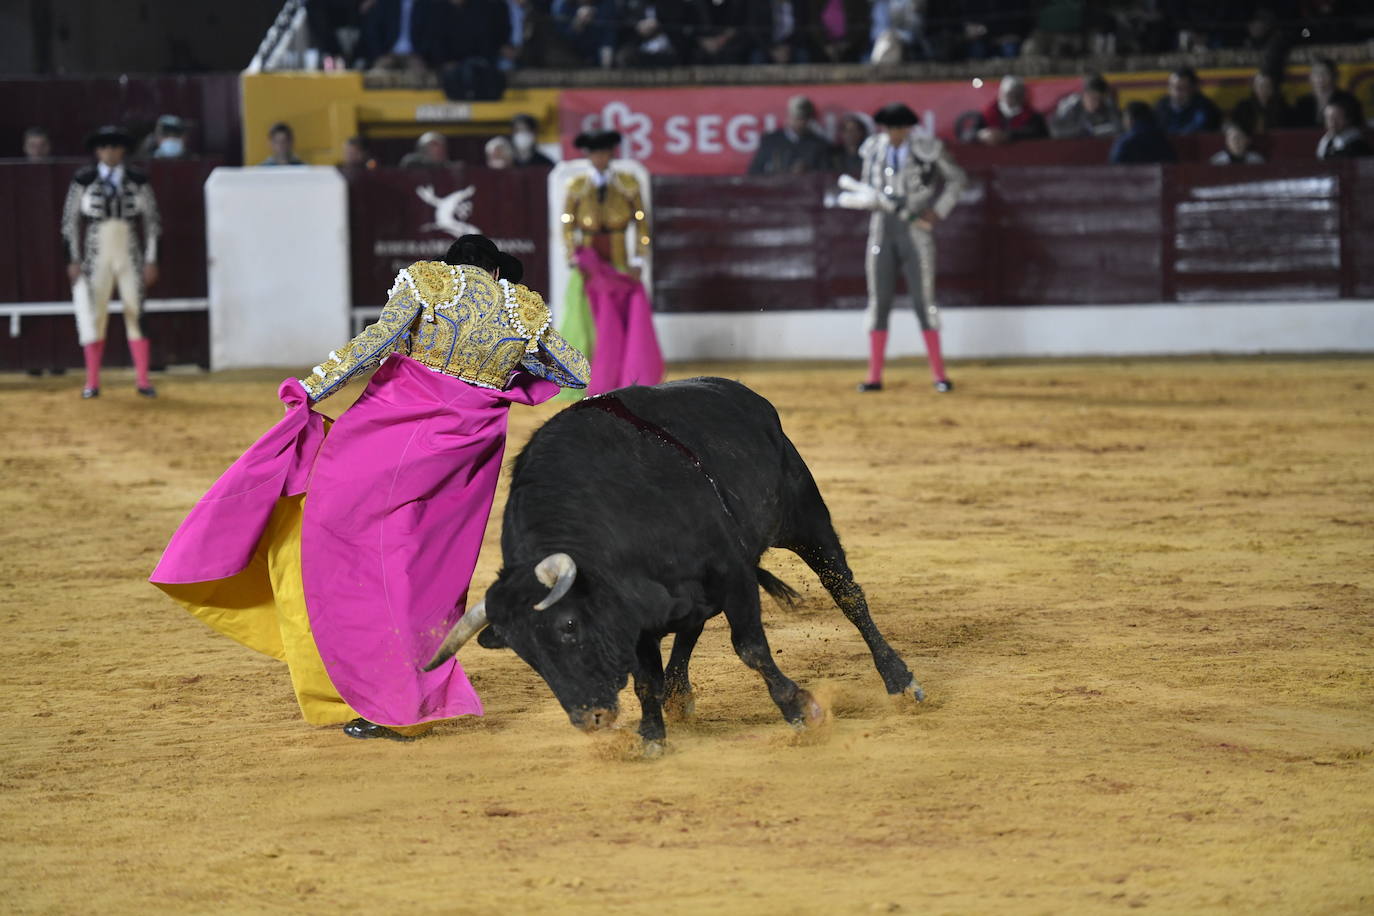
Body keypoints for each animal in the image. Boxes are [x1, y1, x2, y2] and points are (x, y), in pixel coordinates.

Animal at [425, 379, 923, 747]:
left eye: (568, 626)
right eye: (523, 652)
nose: (590, 718)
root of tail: (746, 396)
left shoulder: (732, 573)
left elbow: (750, 647)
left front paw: (800, 708)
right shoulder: (635, 614)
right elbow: (646, 676)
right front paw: (651, 735)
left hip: (806, 519)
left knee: (846, 593)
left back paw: (900, 682)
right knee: (691, 628)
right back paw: (678, 695)